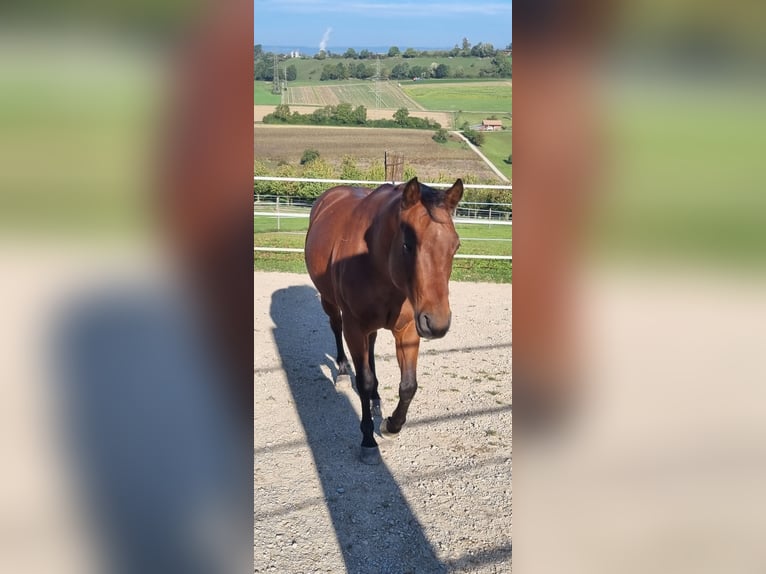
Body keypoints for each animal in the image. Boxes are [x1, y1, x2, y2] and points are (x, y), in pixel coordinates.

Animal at [304, 176, 463, 464]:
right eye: (408, 244)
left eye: (455, 246)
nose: (437, 324)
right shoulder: (355, 328)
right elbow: (363, 382)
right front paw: (368, 441)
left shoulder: (408, 330)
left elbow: (408, 385)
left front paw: (390, 426)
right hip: (329, 302)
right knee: (335, 327)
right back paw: (342, 371)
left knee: (373, 345)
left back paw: (377, 398)